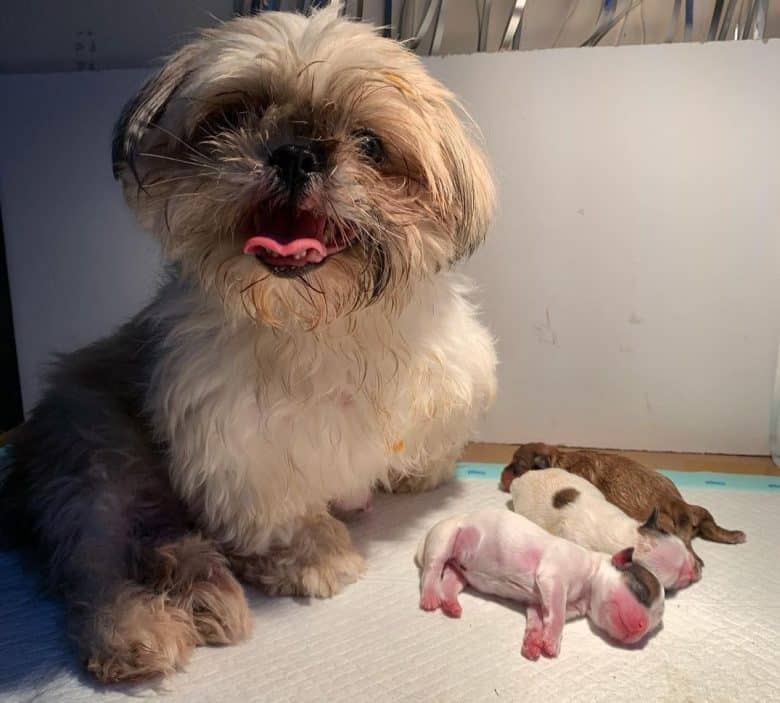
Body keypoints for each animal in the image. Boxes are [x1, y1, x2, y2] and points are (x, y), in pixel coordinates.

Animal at [0, 5, 496, 684]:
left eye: (371, 144)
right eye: (234, 115)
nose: (297, 153)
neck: (321, 326)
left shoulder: (449, 386)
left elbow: (431, 444)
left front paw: (417, 475)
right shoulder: (243, 448)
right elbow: (282, 517)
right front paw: (313, 557)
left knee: (163, 542)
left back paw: (204, 592)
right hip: (95, 467)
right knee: (92, 564)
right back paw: (137, 631)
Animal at [414, 508, 664, 656]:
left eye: (652, 628)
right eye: (641, 591)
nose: (641, 629)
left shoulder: (538, 603)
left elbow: (537, 619)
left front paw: (534, 642)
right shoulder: (553, 577)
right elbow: (558, 616)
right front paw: (552, 642)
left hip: (460, 573)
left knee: (449, 582)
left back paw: (451, 604)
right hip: (444, 538)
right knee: (431, 570)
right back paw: (430, 597)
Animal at [502, 442, 748, 560]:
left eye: (515, 467)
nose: (502, 473)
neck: (559, 458)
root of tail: (677, 503)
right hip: (698, 513)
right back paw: (733, 536)